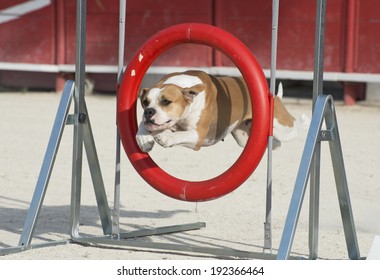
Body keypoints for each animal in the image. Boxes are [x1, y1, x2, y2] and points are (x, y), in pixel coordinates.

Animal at [137, 71, 308, 152]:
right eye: (145, 102)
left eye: (166, 101)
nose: (149, 112)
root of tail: (273, 95)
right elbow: (142, 125)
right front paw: (144, 138)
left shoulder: (197, 136)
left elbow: (180, 134)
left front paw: (166, 137)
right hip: (244, 138)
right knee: (276, 145)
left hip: (281, 127)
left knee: (294, 127)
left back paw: (305, 121)